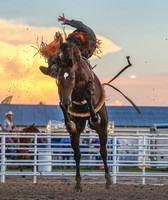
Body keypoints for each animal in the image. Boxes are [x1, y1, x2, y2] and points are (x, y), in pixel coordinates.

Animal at [53, 42, 112, 192]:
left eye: (72, 77)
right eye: (59, 78)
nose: (67, 102)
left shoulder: (90, 85)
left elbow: (87, 93)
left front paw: (94, 117)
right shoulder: (64, 95)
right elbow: (61, 104)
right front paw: (69, 123)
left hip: (103, 127)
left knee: (103, 151)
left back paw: (108, 181)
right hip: (77, 130)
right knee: (77, 154)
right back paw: (78, 184)